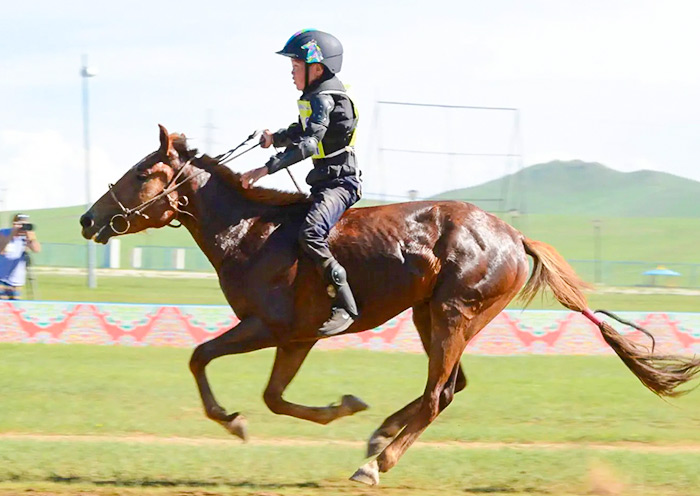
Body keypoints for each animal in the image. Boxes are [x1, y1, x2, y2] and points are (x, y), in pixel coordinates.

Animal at [79, 125, 700, 486]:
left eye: (141, 172)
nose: (88, 219)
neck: (250, 232)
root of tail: (512, 235)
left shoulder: (268, 326)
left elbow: (201, 357)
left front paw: (234, 422)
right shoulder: (297, 336)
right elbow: (273, 396)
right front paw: (341, 407)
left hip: (453, 314)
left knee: (436, 394)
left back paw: (374, 463)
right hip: (430, 315)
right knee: (448, 388)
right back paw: (378, 435)